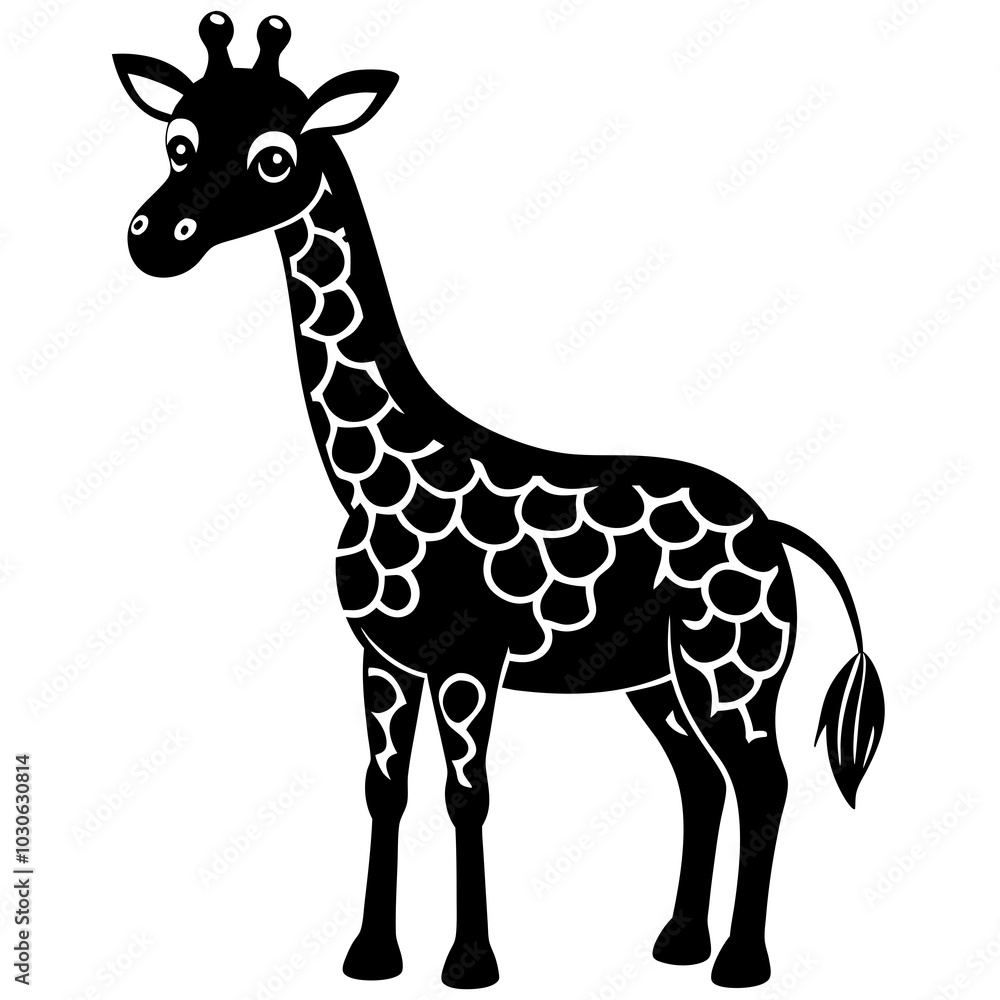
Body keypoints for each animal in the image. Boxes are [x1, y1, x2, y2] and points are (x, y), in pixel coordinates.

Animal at [115, 13, 885, 989]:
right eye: (177, 141)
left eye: (274, 157)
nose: (152, 238)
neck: (369, 475)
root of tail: (772, 529)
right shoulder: (384, 658)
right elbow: (385, 789)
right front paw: (371, 955)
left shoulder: (469, 661)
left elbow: (468, 796)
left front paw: (470, 963)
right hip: (659, 680)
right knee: (700, 778)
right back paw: (678, 941)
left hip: (735, 670)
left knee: (764, 781)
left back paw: (741, 963)